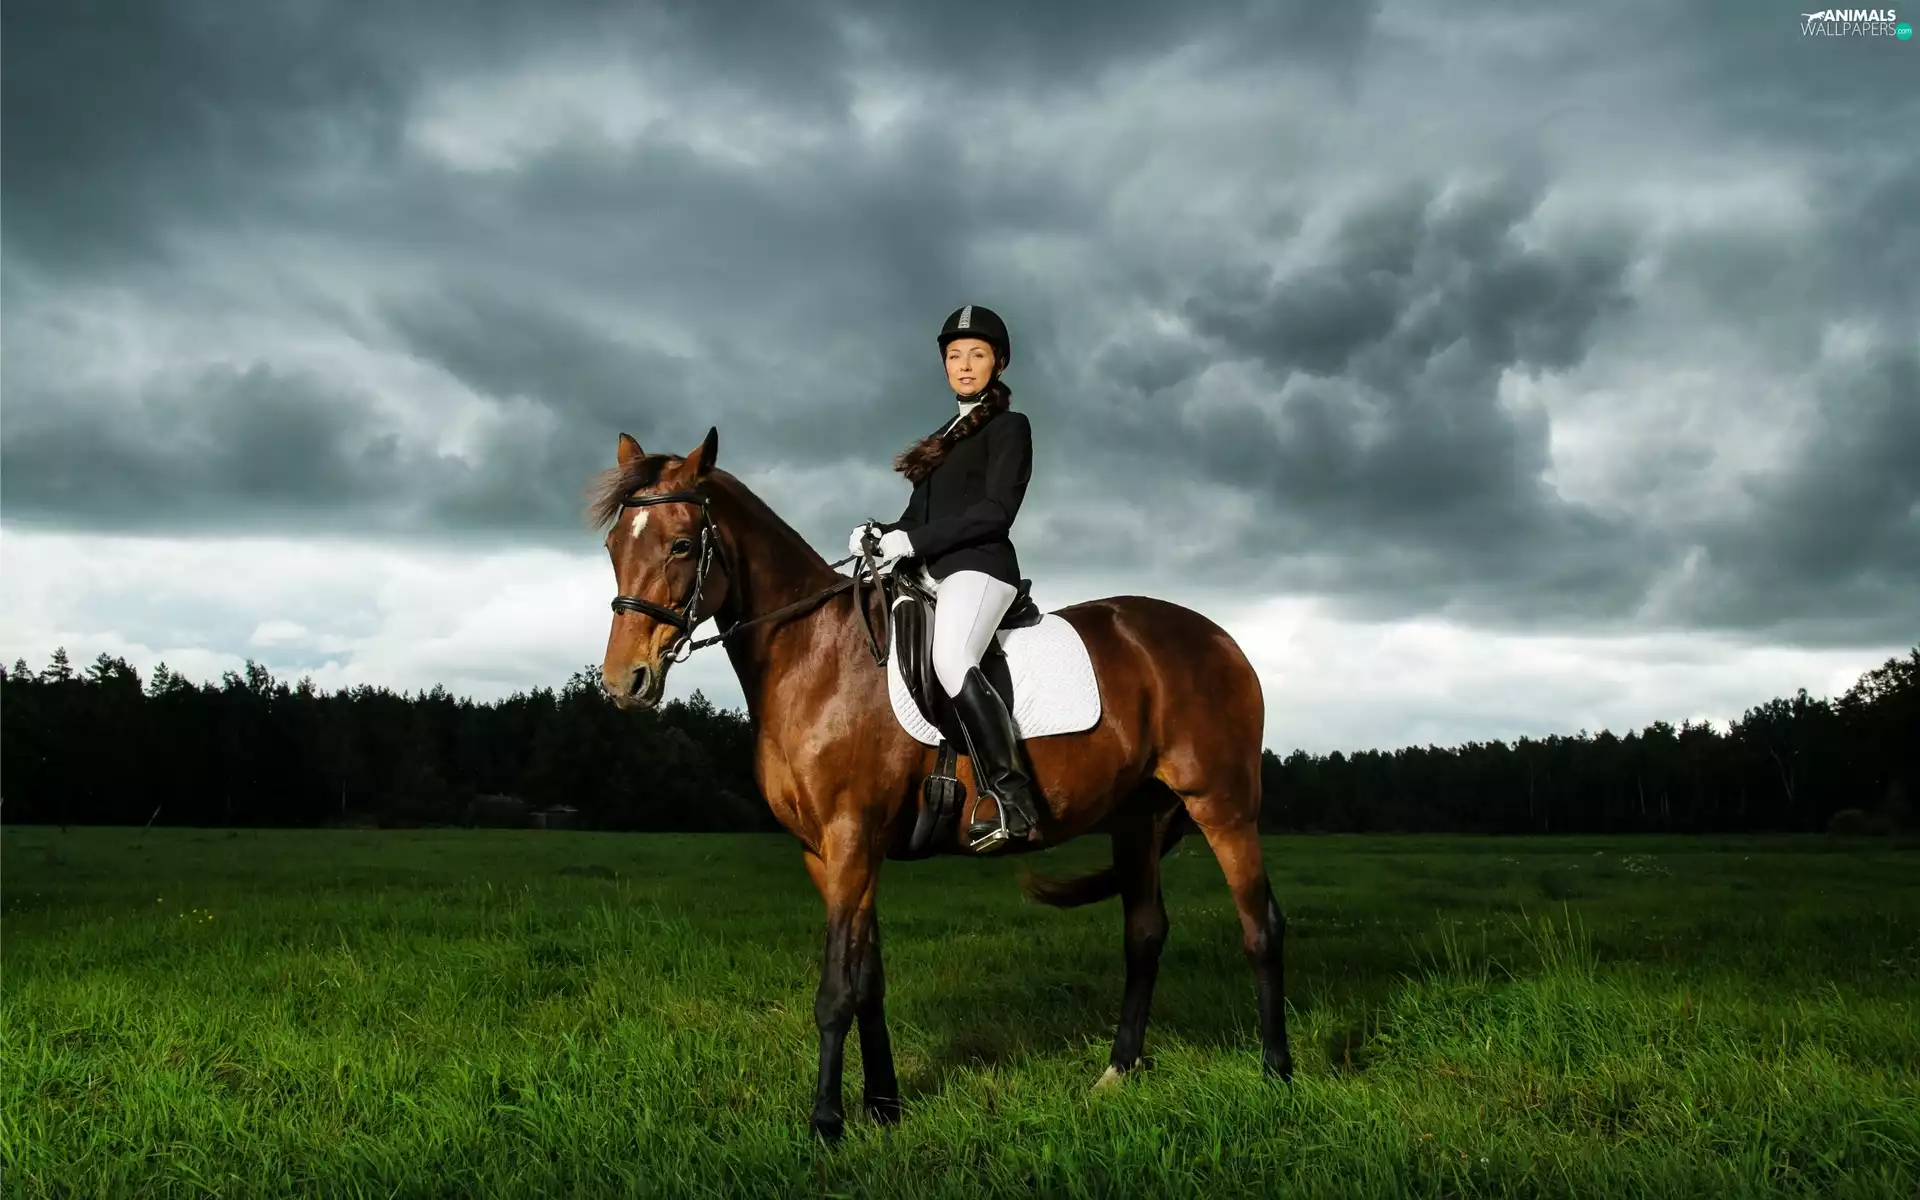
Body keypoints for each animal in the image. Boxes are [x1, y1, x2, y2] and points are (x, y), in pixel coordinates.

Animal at [589, 426, 1291, 1142]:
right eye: (614, 546)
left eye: (681, 544)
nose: (624, 682)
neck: (813, 656)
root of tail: (1220, 638)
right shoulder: (828, 853)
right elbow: (867, 979)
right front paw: (884, 1105)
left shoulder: (851, 839)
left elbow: (835, 989)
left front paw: (826, 1122)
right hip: (1137, 818)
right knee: (1145, 934)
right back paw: (1118, 1071)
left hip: (1224, 807)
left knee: (1260, 926)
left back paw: (1276, 1074)